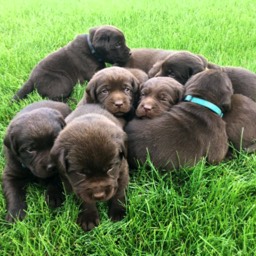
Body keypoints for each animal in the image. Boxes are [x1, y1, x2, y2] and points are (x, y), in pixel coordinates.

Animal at [49, 104, 130, 232]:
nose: (99, 195)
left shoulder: (123, 170)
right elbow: (85, 199)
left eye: (110, 168)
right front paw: (89, 217)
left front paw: (118, 212)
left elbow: (119, 192)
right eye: (81, 173)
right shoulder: (75, 184)